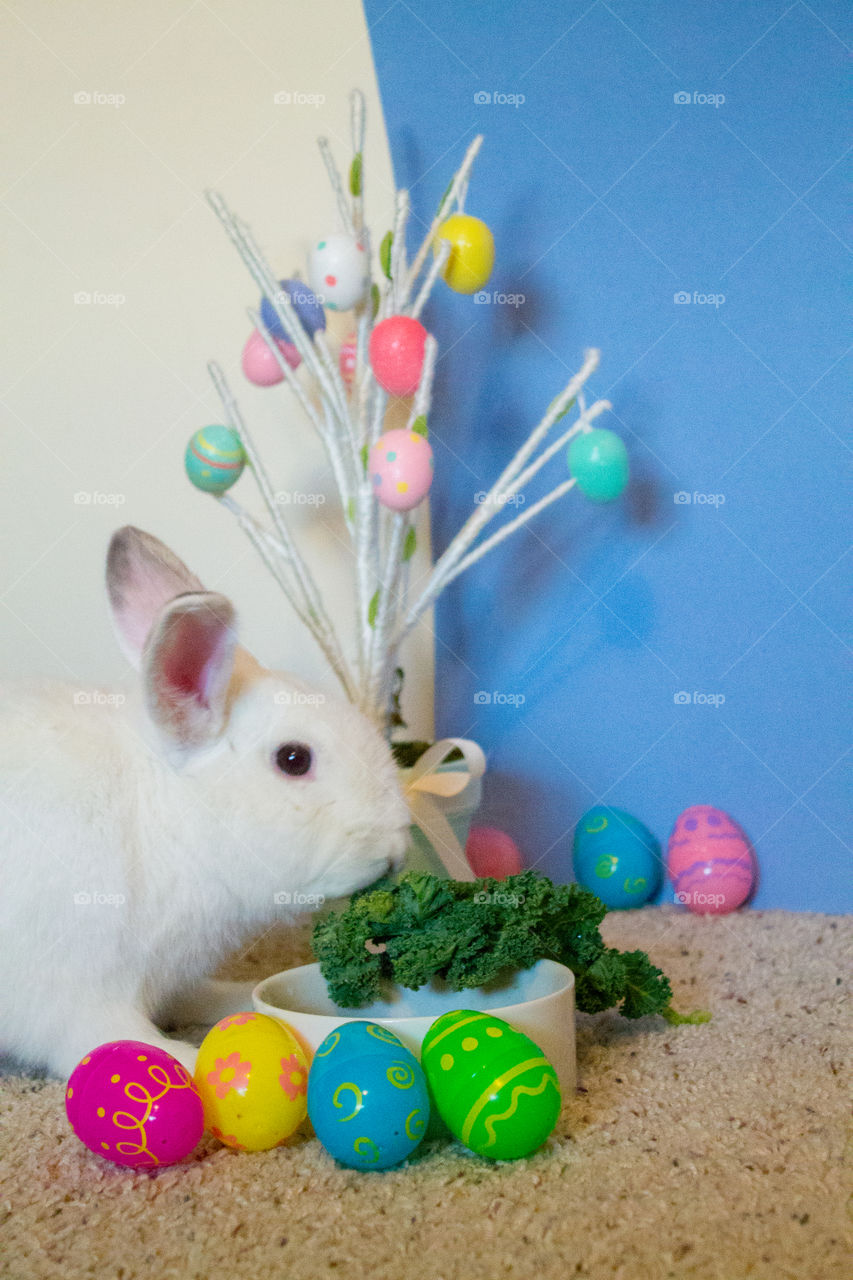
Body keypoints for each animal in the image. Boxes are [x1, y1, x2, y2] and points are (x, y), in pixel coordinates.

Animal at [0, 526, 411, 1079]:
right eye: (294, 759)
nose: (397, 846)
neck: (164, 819)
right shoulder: (80, 1000)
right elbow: (133, 1046)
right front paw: (199, 1064)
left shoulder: (169, 981)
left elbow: (203, 999)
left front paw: (239, 998)